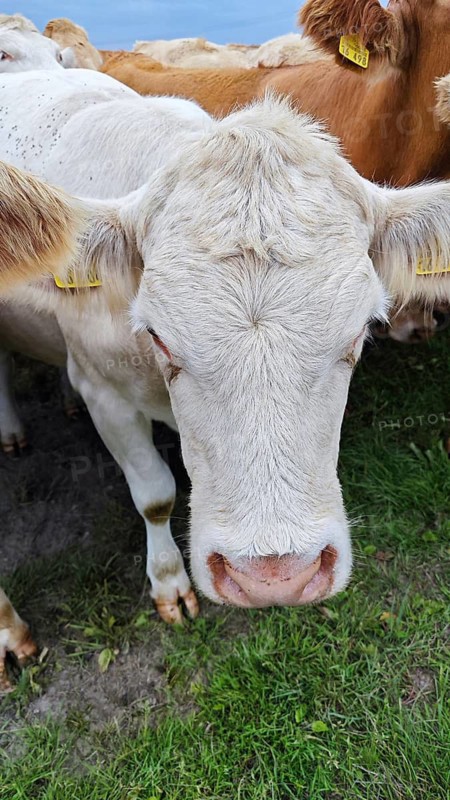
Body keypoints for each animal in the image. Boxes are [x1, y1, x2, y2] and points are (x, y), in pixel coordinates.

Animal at [1, 70, 449, 634]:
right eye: (157, 335)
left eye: (361, 330)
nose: (274, 576)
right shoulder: (104, 392)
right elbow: (154, 495)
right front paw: (168, 582)